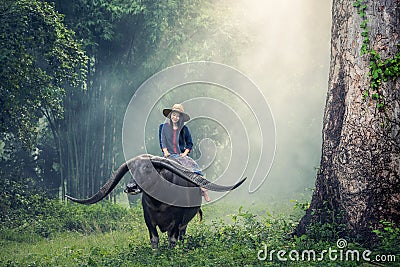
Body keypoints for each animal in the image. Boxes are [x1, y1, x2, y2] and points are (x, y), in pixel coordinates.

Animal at [66, 154, 244, 250]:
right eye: (132, 171)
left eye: (147, 169)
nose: (131, 187)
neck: (160, 204)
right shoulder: (148, 220)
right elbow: (154, 239)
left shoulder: (177, 221)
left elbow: (172, 240)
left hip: (185, 223)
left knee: (182, 236)